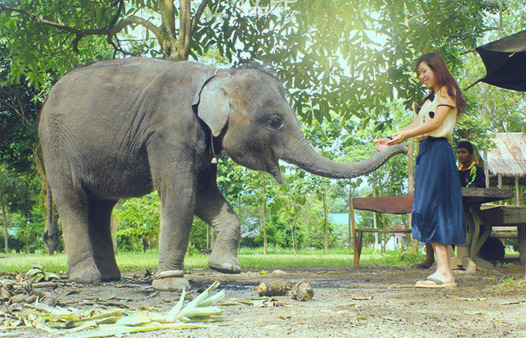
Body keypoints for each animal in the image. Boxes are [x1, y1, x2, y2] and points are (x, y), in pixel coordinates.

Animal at [39, 58, 408, 290]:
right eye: (275, 121)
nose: (400, 145)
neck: (217, 74)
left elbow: (206, 196)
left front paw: (224, 268)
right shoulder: (168, 132)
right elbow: (180, 193)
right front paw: (173, 284)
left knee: (102, 207)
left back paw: (111, 278)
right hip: (55, 144)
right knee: (72, 199)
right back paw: (87, 279)